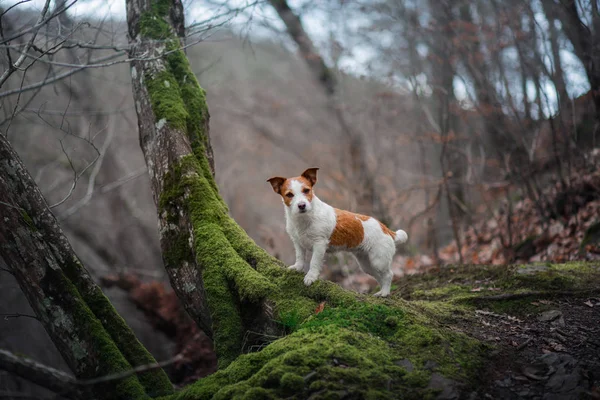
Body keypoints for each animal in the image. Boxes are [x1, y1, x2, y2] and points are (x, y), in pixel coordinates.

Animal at [268, 167, 408, 296]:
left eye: (306, 190)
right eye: (289, 194)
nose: (302, 205)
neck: (304, 218)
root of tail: (387, 229)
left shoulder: (319, 244)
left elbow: (314, 262)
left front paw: (311, 277)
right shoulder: (297, 242)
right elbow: (300, 257)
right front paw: (297, 268)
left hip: (378, 260)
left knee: (389, 274)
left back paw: (385, 293)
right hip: (367, 264)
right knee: (379, 277)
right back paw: (380, 292)